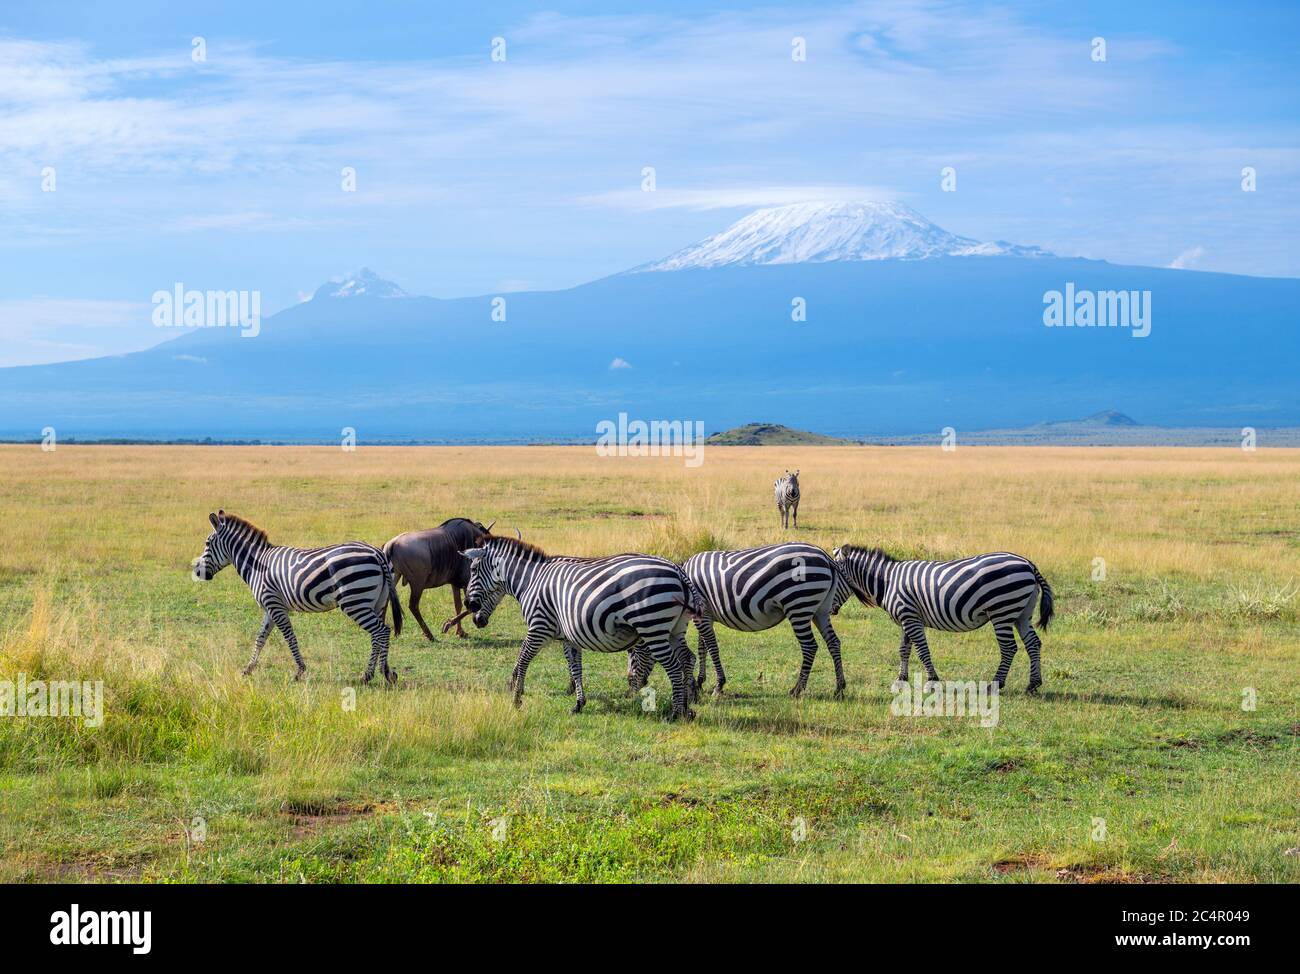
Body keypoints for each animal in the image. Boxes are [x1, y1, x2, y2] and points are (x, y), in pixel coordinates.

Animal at [193, 509, 400, 681]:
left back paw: (376, 673)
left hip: (354, 602)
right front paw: (248, 669)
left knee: (381, 631)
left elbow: (289, 636)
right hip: (376, 602)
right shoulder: (270, 607)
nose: (196, 572)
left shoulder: (274, 605)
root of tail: (377, 552)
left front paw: (300, 671)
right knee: (380, 633)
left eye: (207, 543)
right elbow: (260, 638)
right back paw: (379, 672)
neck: (257, 564)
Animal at [465, 535, 702, 717]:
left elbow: (523, 658)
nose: (470, 607)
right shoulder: (569, 637)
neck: (531, 580)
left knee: (673, 666)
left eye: (474, 569)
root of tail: (677, 570)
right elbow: (575, 667)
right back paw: (687, 708)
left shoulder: (540, 627)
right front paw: (579, 703)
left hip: (652, 627)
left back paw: (675, 712)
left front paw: (516, 698)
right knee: (686, 659)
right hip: (674, 629)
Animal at [629, 538, 852, 697]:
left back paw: (797, 689)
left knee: (810, 646)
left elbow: (712, 647)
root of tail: (825, 557)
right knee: (833, 642)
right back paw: (839, 687)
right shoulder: (704, 615)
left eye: (631, 653)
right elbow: (703, 647)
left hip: (799, 605)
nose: (632, 687)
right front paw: (701, 681)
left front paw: (718, 685)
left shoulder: (702, 615)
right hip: (820, 610)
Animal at [832, 546, 1055, 691]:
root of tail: (1028, 563)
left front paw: (932, 681)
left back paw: (995, 684)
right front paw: (901, 680)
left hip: (1002, 611)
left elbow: (922, 650)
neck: (887, 582)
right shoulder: (906, 617)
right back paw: (1033, 684)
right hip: (1021, 613)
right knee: (1033, 643)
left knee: (1009, 648)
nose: (830, 611)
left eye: (832, 576)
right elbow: (904, 649)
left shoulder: (910, 617)